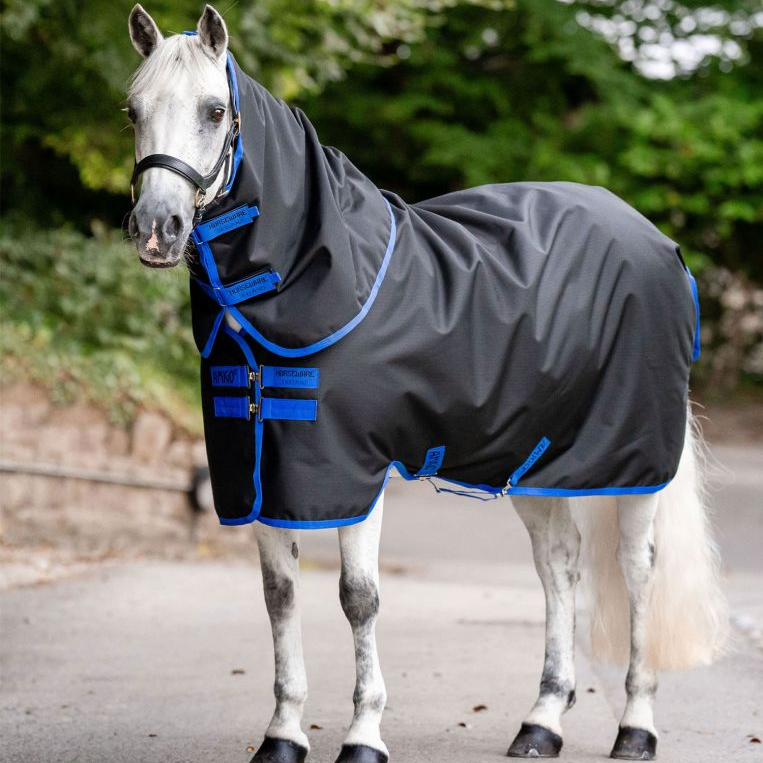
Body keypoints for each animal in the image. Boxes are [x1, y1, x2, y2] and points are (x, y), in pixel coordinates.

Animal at [125, 6, 728, 762]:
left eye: (213, 110)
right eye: (132, 109)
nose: (157, 229)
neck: (314, 276)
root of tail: (659, 244)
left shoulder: (351, 471)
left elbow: (358, 597)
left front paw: (363, 735)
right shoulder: (261, 471)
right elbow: (279, 596)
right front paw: (283, 735)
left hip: (635, 460)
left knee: (639, 569)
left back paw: (636, 727)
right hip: (534, 460)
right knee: (558, 566)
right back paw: (540, 722)